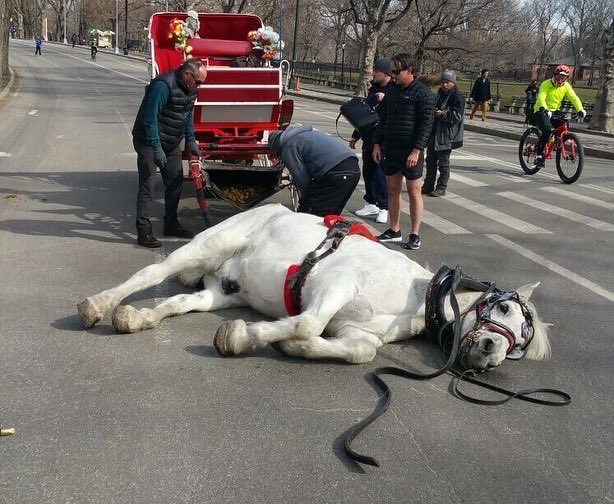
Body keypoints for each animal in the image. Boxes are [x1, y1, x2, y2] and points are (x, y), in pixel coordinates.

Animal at [78, 203, 552, 372]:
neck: (411, 295)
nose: (490, 354)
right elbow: (307, 322)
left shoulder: (357, 333)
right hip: (206, 247)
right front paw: (246, 336)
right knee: (151, 275)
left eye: (519, 345)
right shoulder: (335, 285)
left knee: (178, 301)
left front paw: (291, 348)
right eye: (505, 309)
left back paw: (136, 317)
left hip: (223, 291)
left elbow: (360, 353)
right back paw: (98, 305)